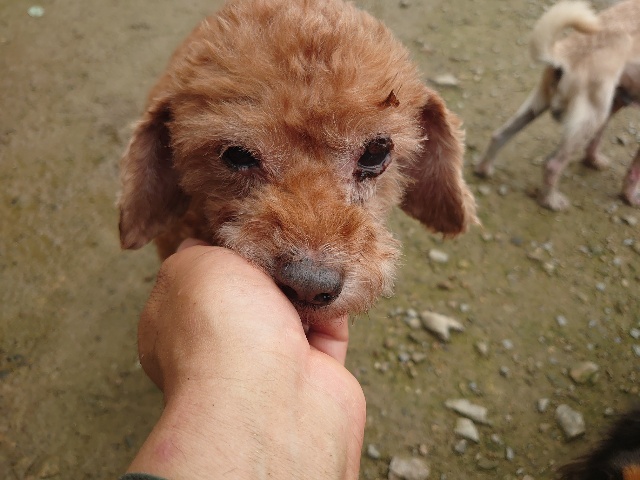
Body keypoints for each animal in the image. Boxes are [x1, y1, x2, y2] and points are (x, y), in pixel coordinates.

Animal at [474, 0, 640, 211]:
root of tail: (564, 55)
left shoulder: (617, 99)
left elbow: (598, 139)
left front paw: (593, 160)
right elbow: (634, 169)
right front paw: (630, 196)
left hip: (539, 103)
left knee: (499, 135)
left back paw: (484, 169)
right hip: (590, 118)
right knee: (552, 164)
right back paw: (550, 200)